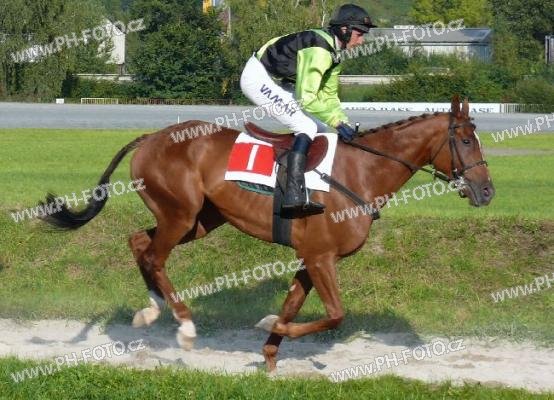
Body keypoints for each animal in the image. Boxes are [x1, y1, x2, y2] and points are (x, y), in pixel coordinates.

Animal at [40, 95, 494, 371]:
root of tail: (152, 137)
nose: (487, 191)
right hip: (180, 214)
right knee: (154, 255)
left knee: (139, 242)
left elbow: (294, 305)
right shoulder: (321, 257)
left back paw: (151, 310)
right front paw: (266, 327)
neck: (362, 173)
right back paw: (184, 326)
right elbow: (334, 315)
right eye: (465, 140)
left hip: (200, 220)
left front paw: (271, 356)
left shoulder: (310, 257)